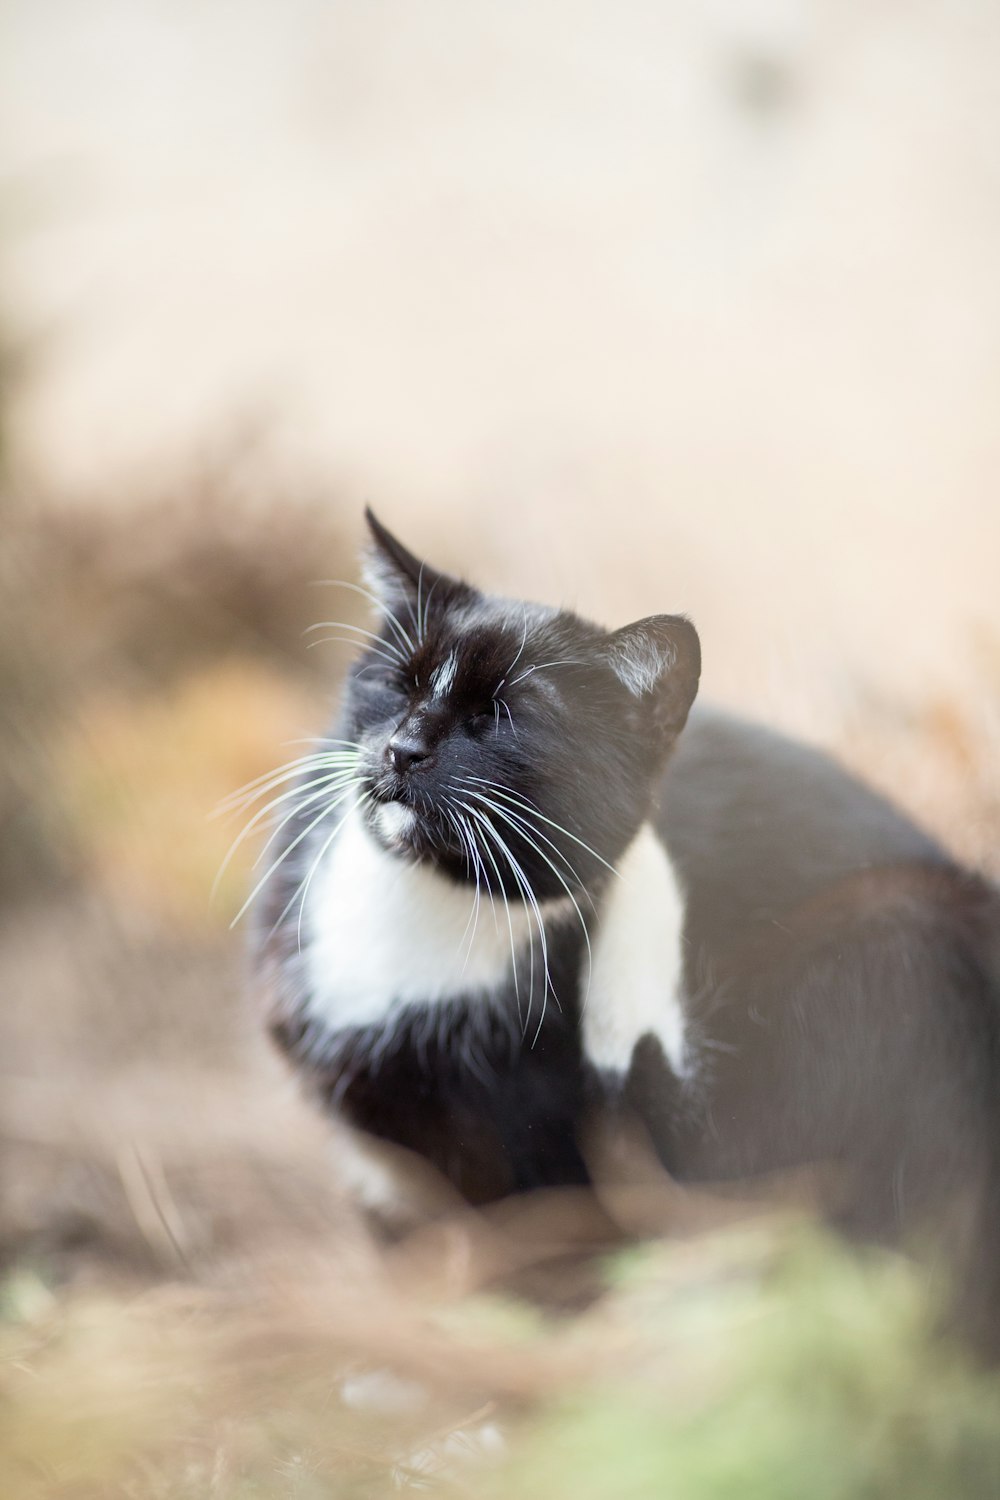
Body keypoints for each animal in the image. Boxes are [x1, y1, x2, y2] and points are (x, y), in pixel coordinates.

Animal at [250, 510, 1000, 1356]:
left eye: (504, 716)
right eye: (397, 683)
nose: (402, 749)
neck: (429, 913)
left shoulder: (563, 1150)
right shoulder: (382, 1165)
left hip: (901, 932)